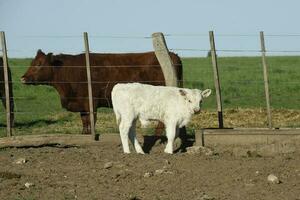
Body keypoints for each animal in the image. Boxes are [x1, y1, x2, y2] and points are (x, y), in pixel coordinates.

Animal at [21, 49, 183, 134]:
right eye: (32, 62)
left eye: (39, 64)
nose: (23, 78)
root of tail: (173, 54)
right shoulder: (82, 105)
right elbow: (84, 121)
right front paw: (85, 133)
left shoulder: (90, 102)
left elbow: (91, 120)